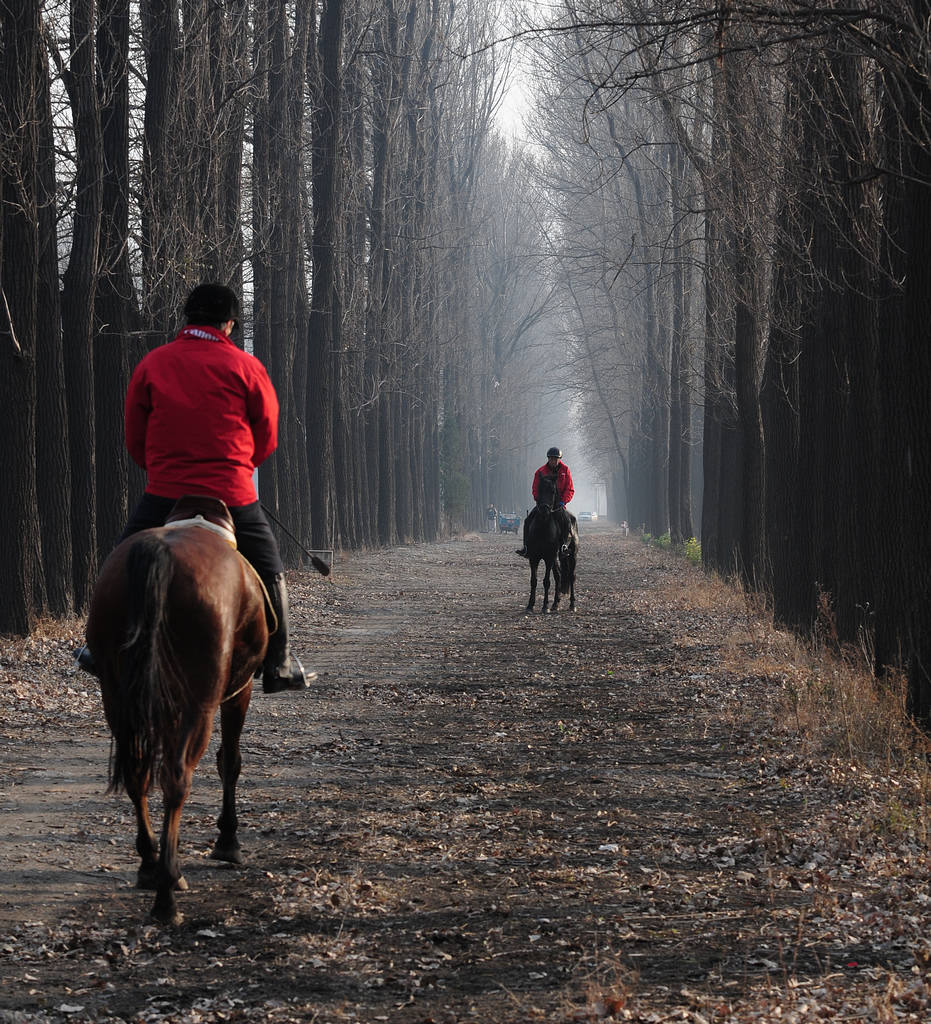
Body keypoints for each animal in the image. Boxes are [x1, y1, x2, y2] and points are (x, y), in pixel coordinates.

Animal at [86, 505, 268, 929]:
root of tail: (161, 553)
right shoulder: (238, 692)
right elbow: (230, 762)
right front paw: (228, 843)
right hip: (199, 702)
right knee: (177, 777)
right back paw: (167, 894)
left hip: (119, 696)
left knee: (137, 772)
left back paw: (150, 865)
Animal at [522, 475, 573, 610]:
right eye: (539, 489)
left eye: (553, 491)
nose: (545, 510)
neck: (543, 529)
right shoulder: (533, 557)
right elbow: (533, 581)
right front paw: (530, 605)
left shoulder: (549, 557)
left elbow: (546, 581)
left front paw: (545, 606)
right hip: (555, 558)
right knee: (558, 576)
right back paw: (555, 603)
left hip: (569, 556)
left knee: (570, 576)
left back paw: (572, 604)